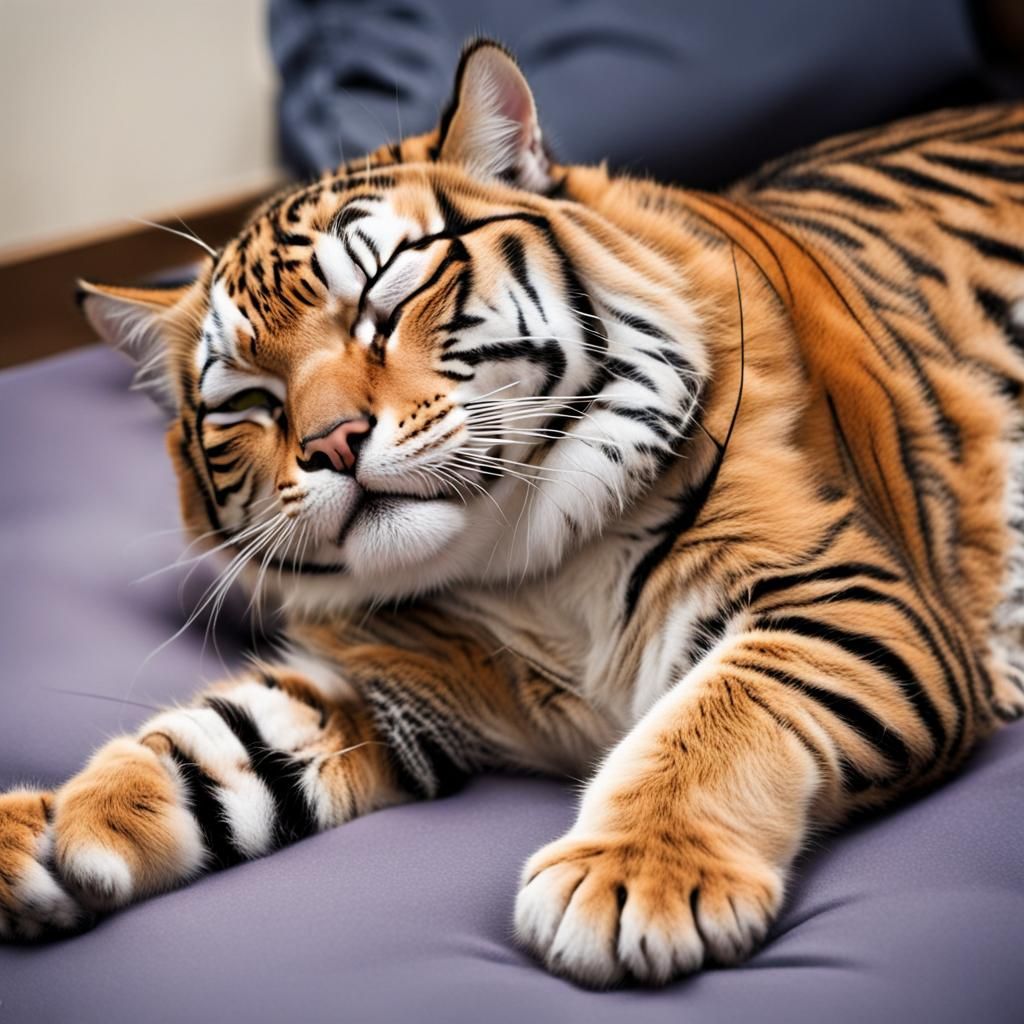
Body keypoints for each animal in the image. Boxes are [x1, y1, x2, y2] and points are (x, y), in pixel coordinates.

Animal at [1, 37, 1023, 987]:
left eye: (383, 302)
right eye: (248, 400)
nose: (333, 442)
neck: (520, 567)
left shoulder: (848, 596)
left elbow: (726, 710)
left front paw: (629, 879)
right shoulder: (384, 683)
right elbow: (214, 740)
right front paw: (49, 829)